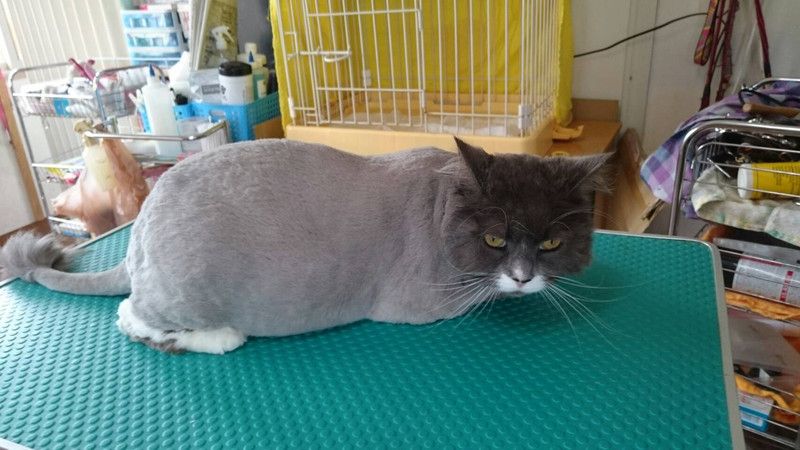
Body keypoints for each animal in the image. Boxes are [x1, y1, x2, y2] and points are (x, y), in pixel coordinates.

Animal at [0, 138, 610, 354]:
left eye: (552, 242)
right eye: (494, 239)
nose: (525, 275)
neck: (439, 200)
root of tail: (138, 234)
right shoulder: (429, 302)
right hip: (182, 296)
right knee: (131, 315)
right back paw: (213, 338)